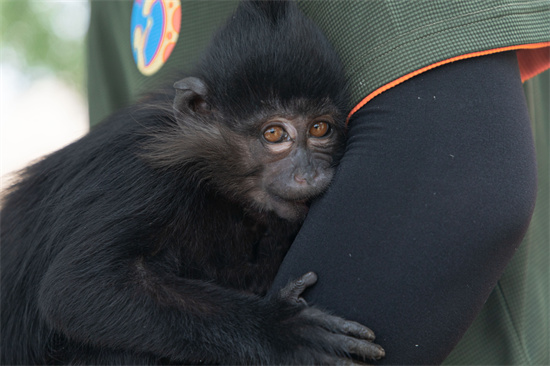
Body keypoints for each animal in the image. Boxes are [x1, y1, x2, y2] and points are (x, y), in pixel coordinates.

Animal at [2, 1, 386, 364]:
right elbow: (77, 287)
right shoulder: (145, 175)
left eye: (320, 128)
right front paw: (280, 331)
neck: (210, 174)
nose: (308, 173)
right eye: (274, 134)